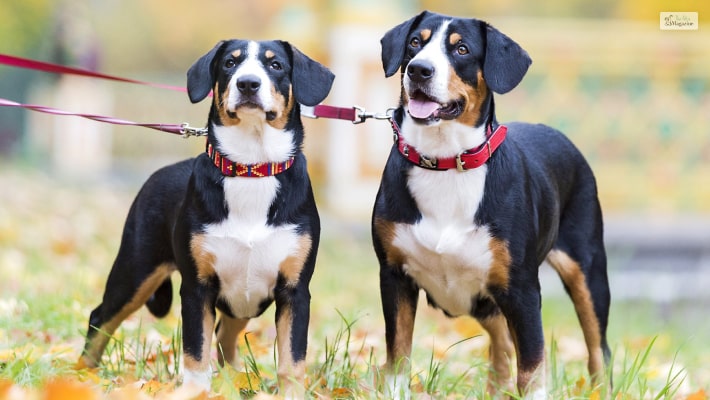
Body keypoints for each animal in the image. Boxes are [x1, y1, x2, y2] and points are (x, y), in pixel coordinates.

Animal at [79, 38, 336, 396]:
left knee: (224, 335)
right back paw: (80, 376)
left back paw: (236, 380)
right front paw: (195, 393)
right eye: (230, 63)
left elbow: (292, 361)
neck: (251, 169)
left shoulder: (295, 290)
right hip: (135, 269)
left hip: (241, 300)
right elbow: (195, 355)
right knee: (100, 318)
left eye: (275, 65)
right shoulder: (197, 288)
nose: (247, 84)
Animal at [372, 10, 612, 398]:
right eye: (414, 43)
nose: (419, 70)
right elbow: (398, 352)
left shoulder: (522, 289)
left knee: (597, 348)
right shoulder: (394, 275)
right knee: (500, 345)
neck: (445, 162)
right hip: (485, 298)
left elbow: (532, 366)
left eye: (462, 49)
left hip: (587, 271)